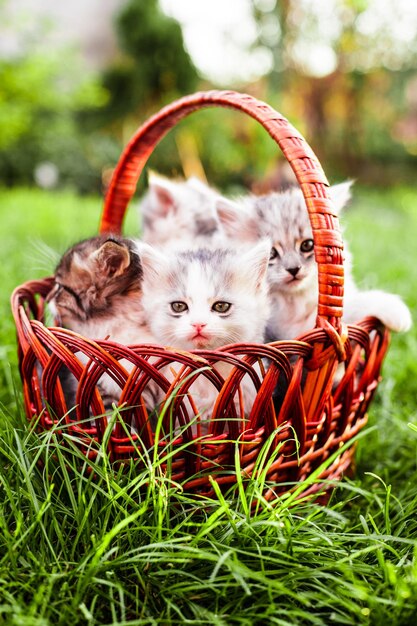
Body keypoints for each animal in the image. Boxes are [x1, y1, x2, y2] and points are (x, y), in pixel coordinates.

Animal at [216, 184, 412, 342]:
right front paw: (398, 311)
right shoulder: (291, 330)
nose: (293, 269)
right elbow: (353, 306)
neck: (294, 304)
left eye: (307, 245)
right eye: (271, 253)